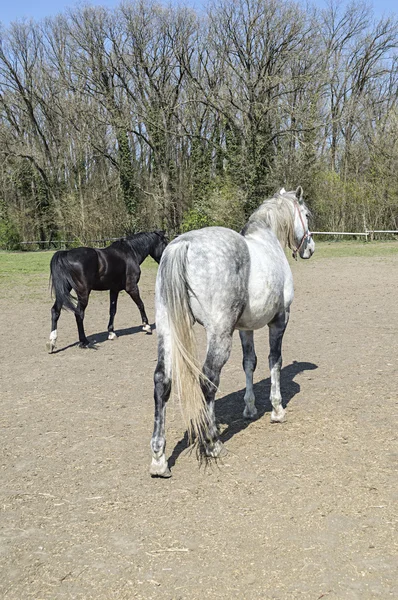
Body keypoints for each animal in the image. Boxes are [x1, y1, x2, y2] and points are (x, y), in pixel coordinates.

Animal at [149, 188, 314, 478]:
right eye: (306, 215)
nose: (310, 248)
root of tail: (184, 244)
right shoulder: (280, 320)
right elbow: (274, 361)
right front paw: (277, 409)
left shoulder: (244, 329)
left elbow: (250, 362)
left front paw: (250, 408)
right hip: (218, 334)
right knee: (208, 380)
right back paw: (212, 442)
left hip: (167, 329)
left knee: (161, 381)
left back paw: (159, 459)